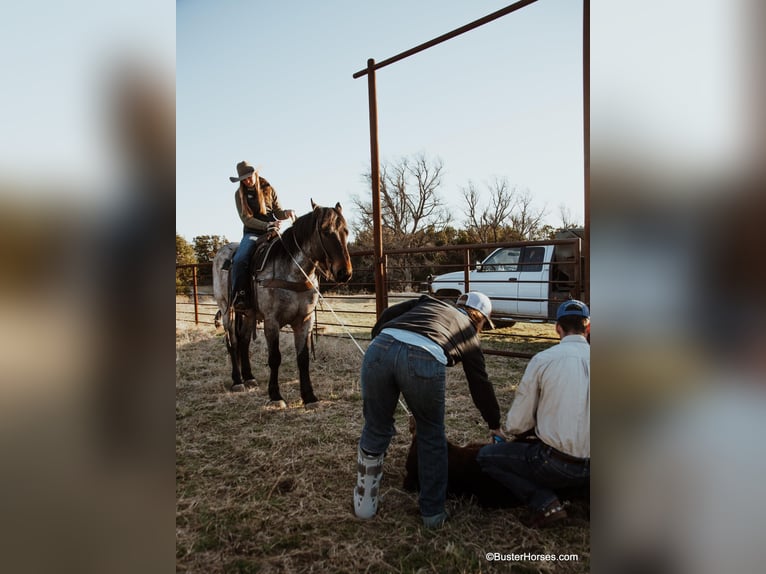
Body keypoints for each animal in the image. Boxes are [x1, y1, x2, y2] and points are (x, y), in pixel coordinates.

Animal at [212, 200, 352, 408]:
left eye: (346, 231)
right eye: (325, 231)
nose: (345, 273)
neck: (293, 272)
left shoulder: (304, 321)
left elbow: (302, 358)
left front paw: (309, 397)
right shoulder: (272, 322)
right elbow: (275, 357)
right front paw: (275, 396)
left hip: (249, 314)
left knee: (244, 340)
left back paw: (249, 377)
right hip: (226, 309)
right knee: (233, 341)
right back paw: (238, 381)